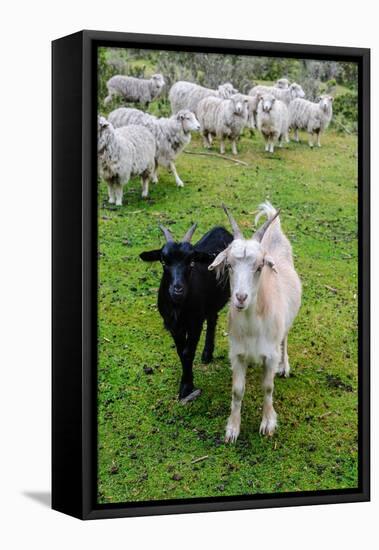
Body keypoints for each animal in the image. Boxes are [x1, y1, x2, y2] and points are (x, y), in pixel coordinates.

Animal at [141, 225, 233, 406]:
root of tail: (221, 229)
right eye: (163, 262)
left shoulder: (195, 322)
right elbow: (180, 351)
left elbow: (187, 352)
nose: (177, 290)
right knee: (212, 318)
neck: (178, 307)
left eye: (191, 262)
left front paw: (186, 387)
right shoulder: (173, 325)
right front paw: (186, 383)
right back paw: (207, 354)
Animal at [208, 203, 302, 444]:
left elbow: (268, 388)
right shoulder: (237, 353)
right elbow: (237, 391)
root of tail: (275, 231)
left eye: (260, 266)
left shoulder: (270, 354)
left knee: (285, 339)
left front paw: (268, 423)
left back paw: (284, 366)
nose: (241, 298)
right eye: (229, 265)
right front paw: (232, 428)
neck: (252, 328)